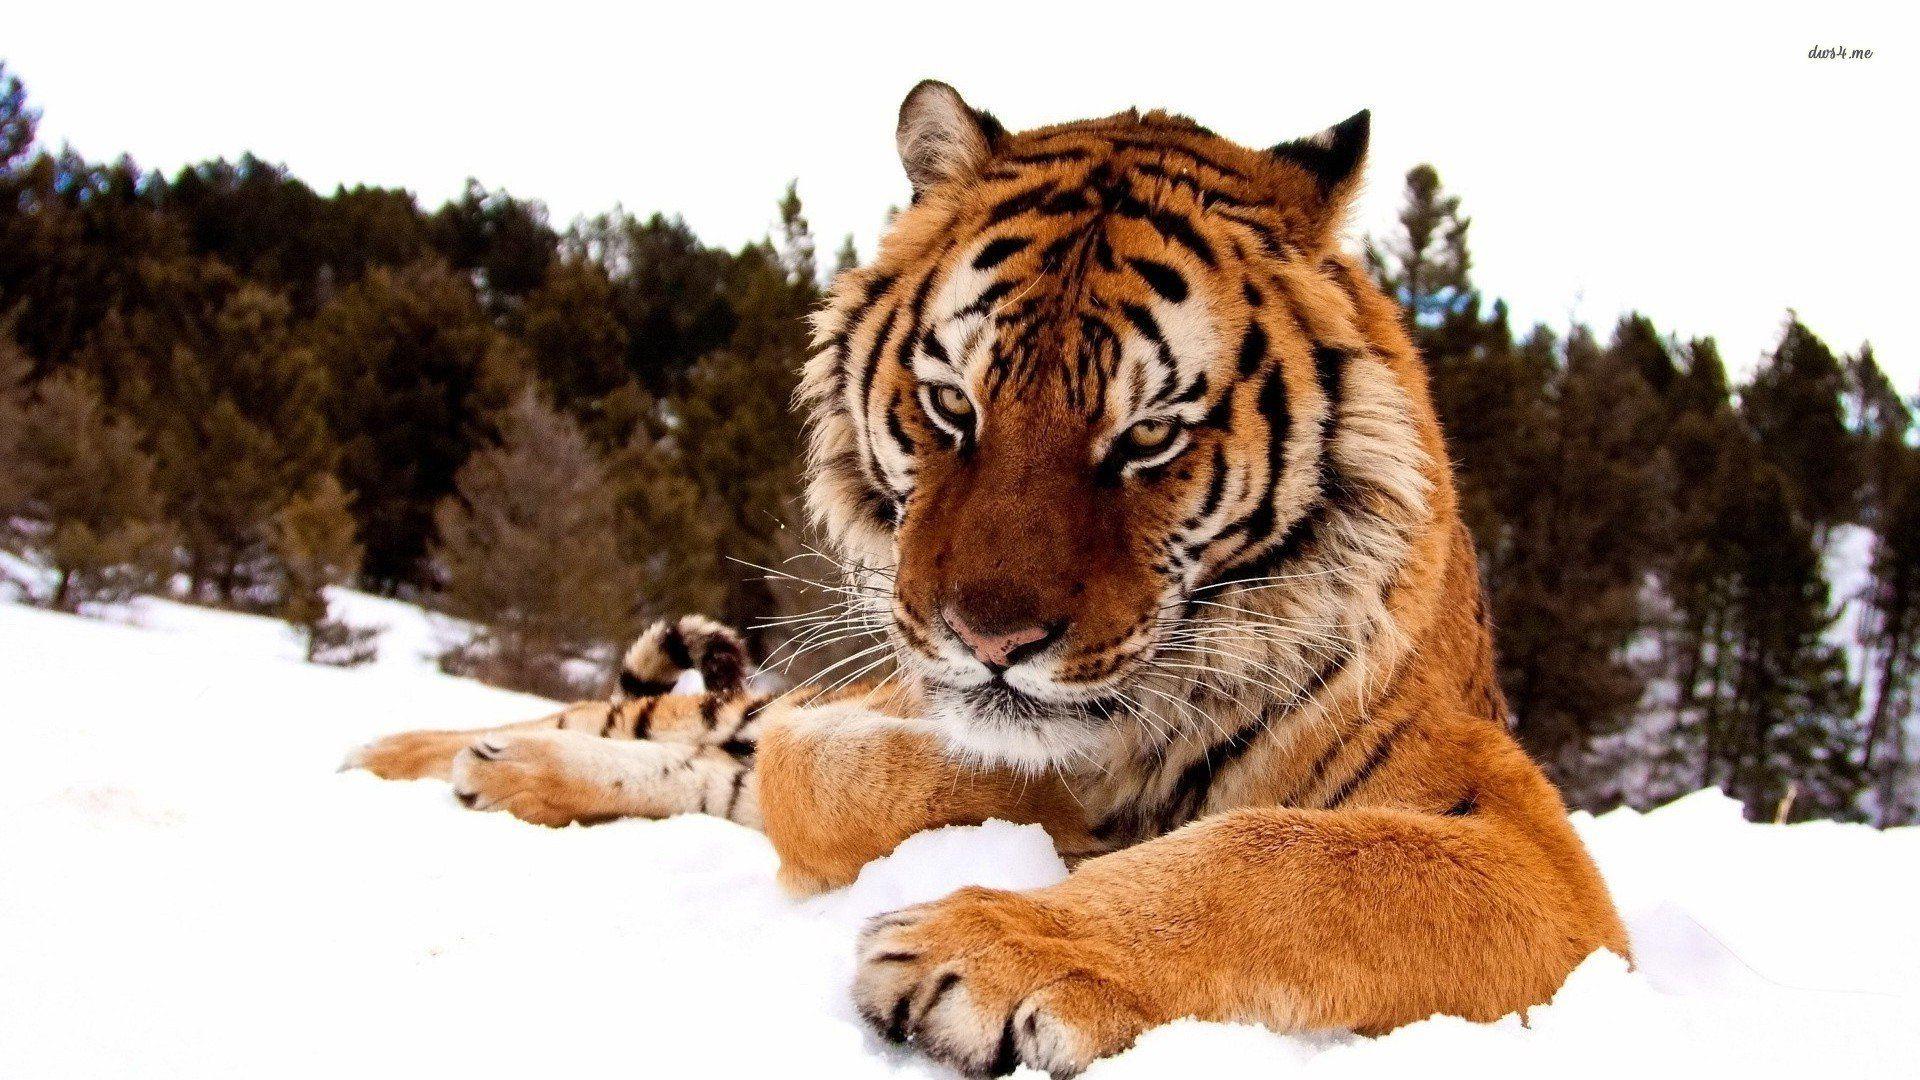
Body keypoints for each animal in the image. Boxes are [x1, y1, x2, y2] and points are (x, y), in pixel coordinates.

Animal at [348, 80, 1630, 1077]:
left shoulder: (1535, 855)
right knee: (636, 720)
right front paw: (1053, 817)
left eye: (1149, 437)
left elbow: (1285, 862)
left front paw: (991, 950)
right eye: (951, 406)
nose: (991, 639)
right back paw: (417, 756)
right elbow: (841, 770)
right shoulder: (874, 710)